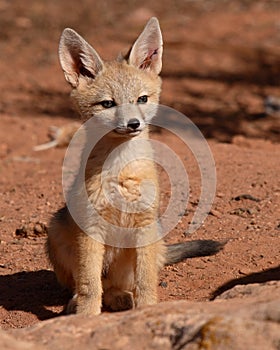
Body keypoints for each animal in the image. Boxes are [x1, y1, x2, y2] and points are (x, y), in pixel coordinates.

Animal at [47, 17, 223, 316]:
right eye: (108, 104)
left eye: (142, 99)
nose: (133, 124)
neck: (122, 172)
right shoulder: (91, 228)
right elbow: (90, 285)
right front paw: (86, 317)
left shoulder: (144, 224)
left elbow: (146, 281)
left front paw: (147, 309)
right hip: (56, 233)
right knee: (88, 285)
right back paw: (79, 302)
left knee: (118, 286)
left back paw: (120, 298)